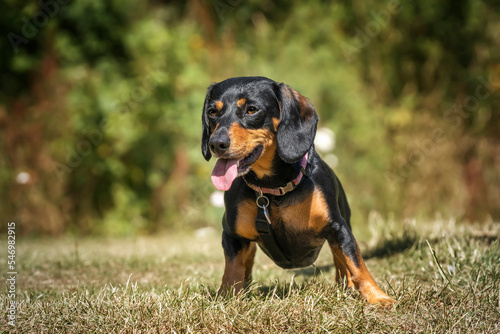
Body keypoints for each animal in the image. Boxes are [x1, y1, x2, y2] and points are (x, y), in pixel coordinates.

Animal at [201, 76, 396, 306]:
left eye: (252, 109)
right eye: (212, 112)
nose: (216, 143)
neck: (273, 191)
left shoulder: (338, 228)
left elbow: (356, 264)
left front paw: (377, 297)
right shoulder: (232, 235)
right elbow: (232, 270)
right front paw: (226, 297)